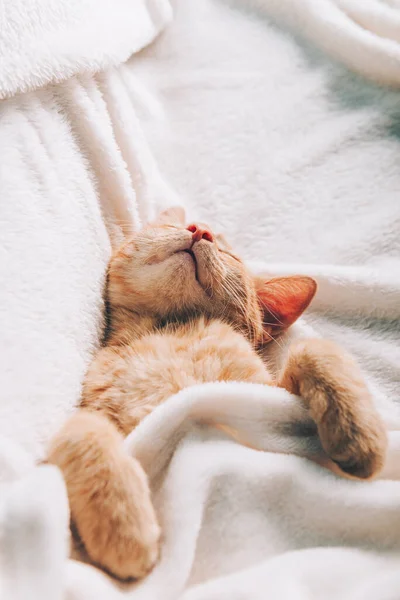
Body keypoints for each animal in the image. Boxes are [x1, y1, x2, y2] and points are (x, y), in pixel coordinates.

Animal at [47, 207, 388, 580]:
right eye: (175, 224)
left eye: (229, 254)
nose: (200, 230)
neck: (169, 332)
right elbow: (81, 429)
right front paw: (122, 522)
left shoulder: (266, 392)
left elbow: (314, 348)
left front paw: (357, 431)